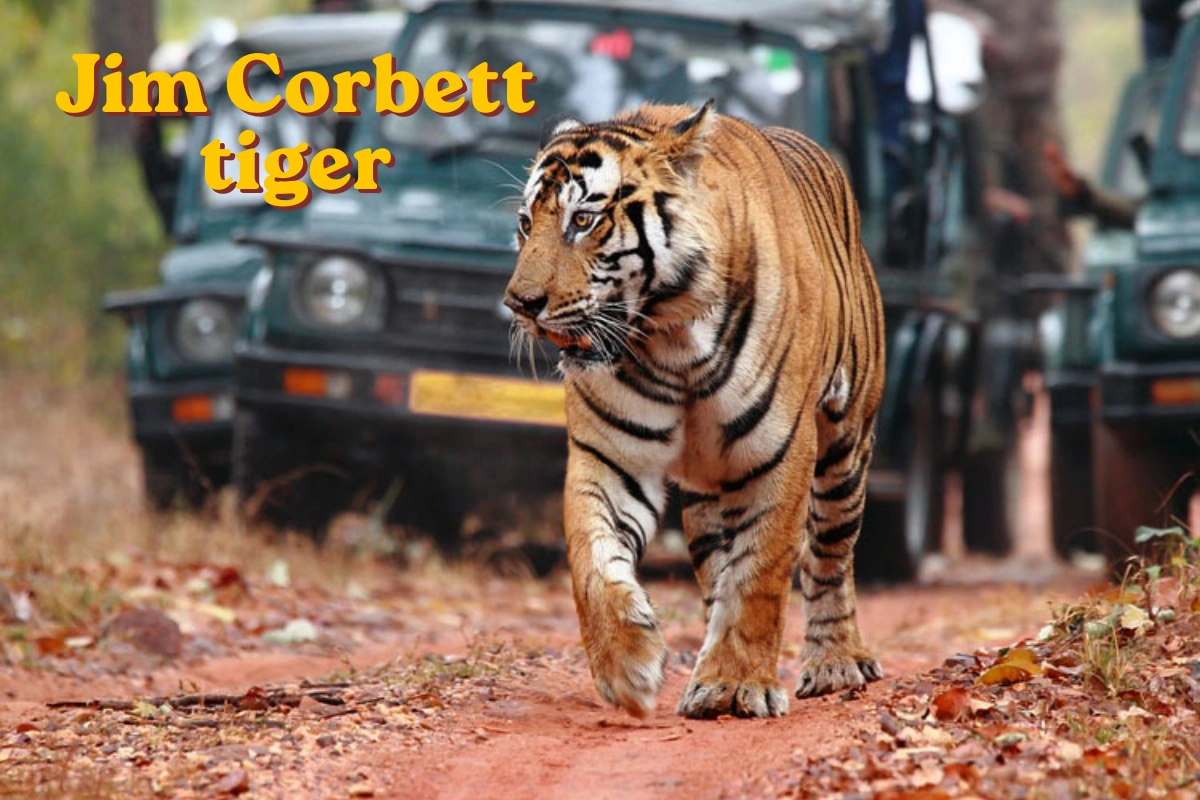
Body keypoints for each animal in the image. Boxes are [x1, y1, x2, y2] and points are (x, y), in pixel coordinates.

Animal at [504, 101, 886, 719]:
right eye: (524, 223)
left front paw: (737, 684)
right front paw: (628, 667)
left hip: (845, 448)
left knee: (830, 556)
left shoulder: (779, 453)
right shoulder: (609, 457)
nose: (519, 304)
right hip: (710, 492)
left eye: (583, 221)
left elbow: (761, 572)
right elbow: (591, 561)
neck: (670, 338)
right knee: (716, 570)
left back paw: (836, 662)